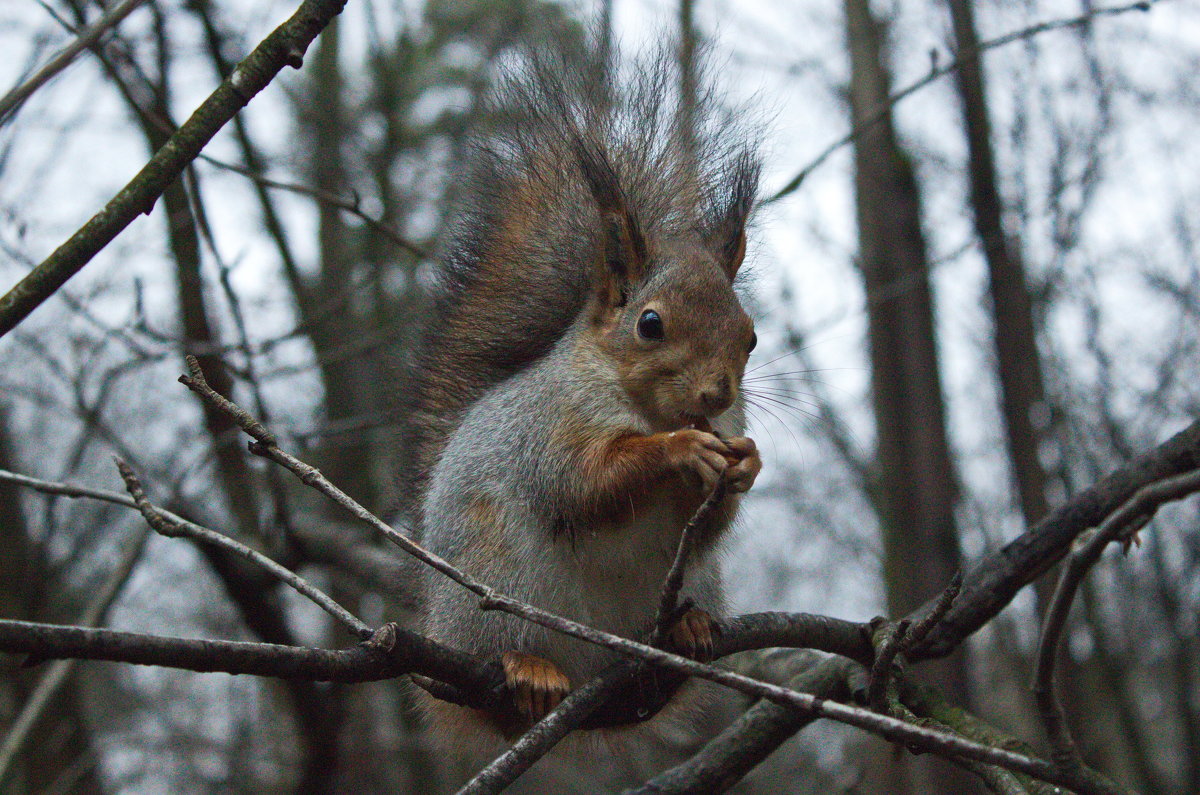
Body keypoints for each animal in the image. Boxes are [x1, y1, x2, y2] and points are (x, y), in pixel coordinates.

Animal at [403, 45, 758, 773]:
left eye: (751, 336)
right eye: (649, 324)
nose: (717, 395)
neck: (644, 407)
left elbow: (708, 520)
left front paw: (745, 462)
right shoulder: (547, 428)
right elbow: (582, 485)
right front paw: (680, 450)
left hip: (697, 582)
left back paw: (684, 631)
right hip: (487, 594)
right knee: (498, 675)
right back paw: (527, 669)